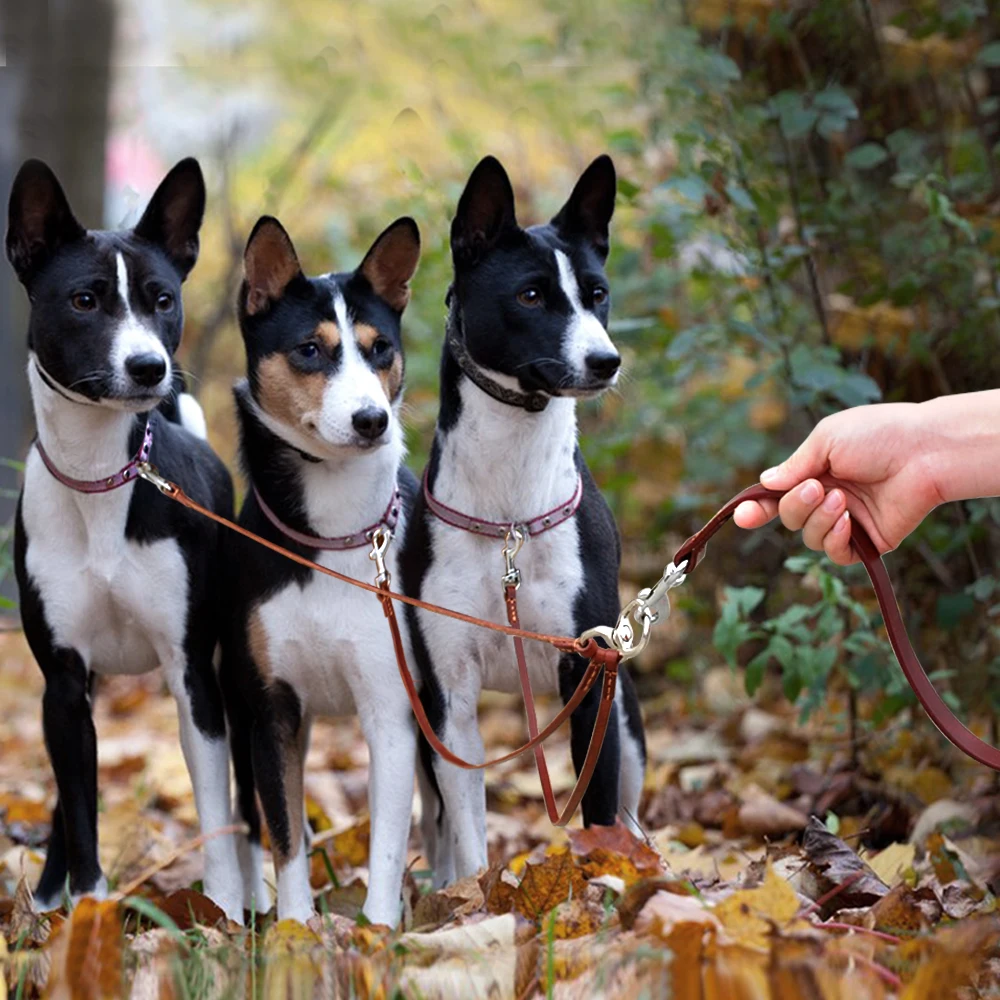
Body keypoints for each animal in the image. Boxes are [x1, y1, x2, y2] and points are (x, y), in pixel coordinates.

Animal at [8, 158, 252, 920]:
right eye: (85, 300)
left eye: (163, 300)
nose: (150, 368)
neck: (99, 482)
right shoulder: (62, 682)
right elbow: (81, 813)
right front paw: (85, 913)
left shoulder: (192, 674)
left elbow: (214, 810)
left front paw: (225, 915)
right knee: (69, 799)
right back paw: (48, 899)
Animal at [219, 215, 422, 924]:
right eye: (310, 350)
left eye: (380, 349)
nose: (372, 420)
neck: (329, 538)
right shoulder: (271, 708)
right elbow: (283, 834)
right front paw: (295, 930)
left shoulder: (391, 705)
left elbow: (386, 841)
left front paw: (380, 931)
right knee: (249, 821)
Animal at [400, 154, 648, 884]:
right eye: (531, 296)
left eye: (597, 294)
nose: (606, 360)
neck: (510, 507)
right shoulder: (449, 696)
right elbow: (469, 834)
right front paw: (472, 899)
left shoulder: (591, 679)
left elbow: (598, 816)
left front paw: (605, 892)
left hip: (625, 712)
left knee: (631, 814)